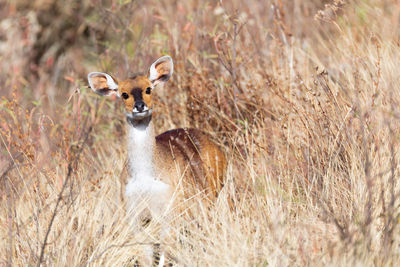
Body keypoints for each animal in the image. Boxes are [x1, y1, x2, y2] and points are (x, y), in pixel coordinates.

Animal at [87, 55, 227, 266]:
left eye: (148, 89)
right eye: (124, 94)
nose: (140, 106)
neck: (146, 178)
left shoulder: (170, 210)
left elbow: (164, 254)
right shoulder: (134, 215)